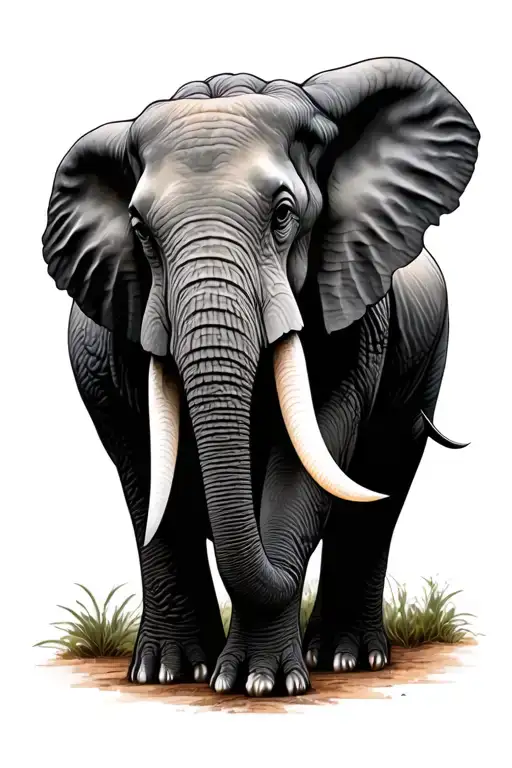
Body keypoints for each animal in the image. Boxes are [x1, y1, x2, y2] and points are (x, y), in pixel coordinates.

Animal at [42, 57, 479, 697]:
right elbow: (148, 474)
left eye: (283, 215)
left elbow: (310, 457)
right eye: (139, 230)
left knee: (380, 487)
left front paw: (261, 685)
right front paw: (168, 674)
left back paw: (346, 659)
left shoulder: (357, 317)